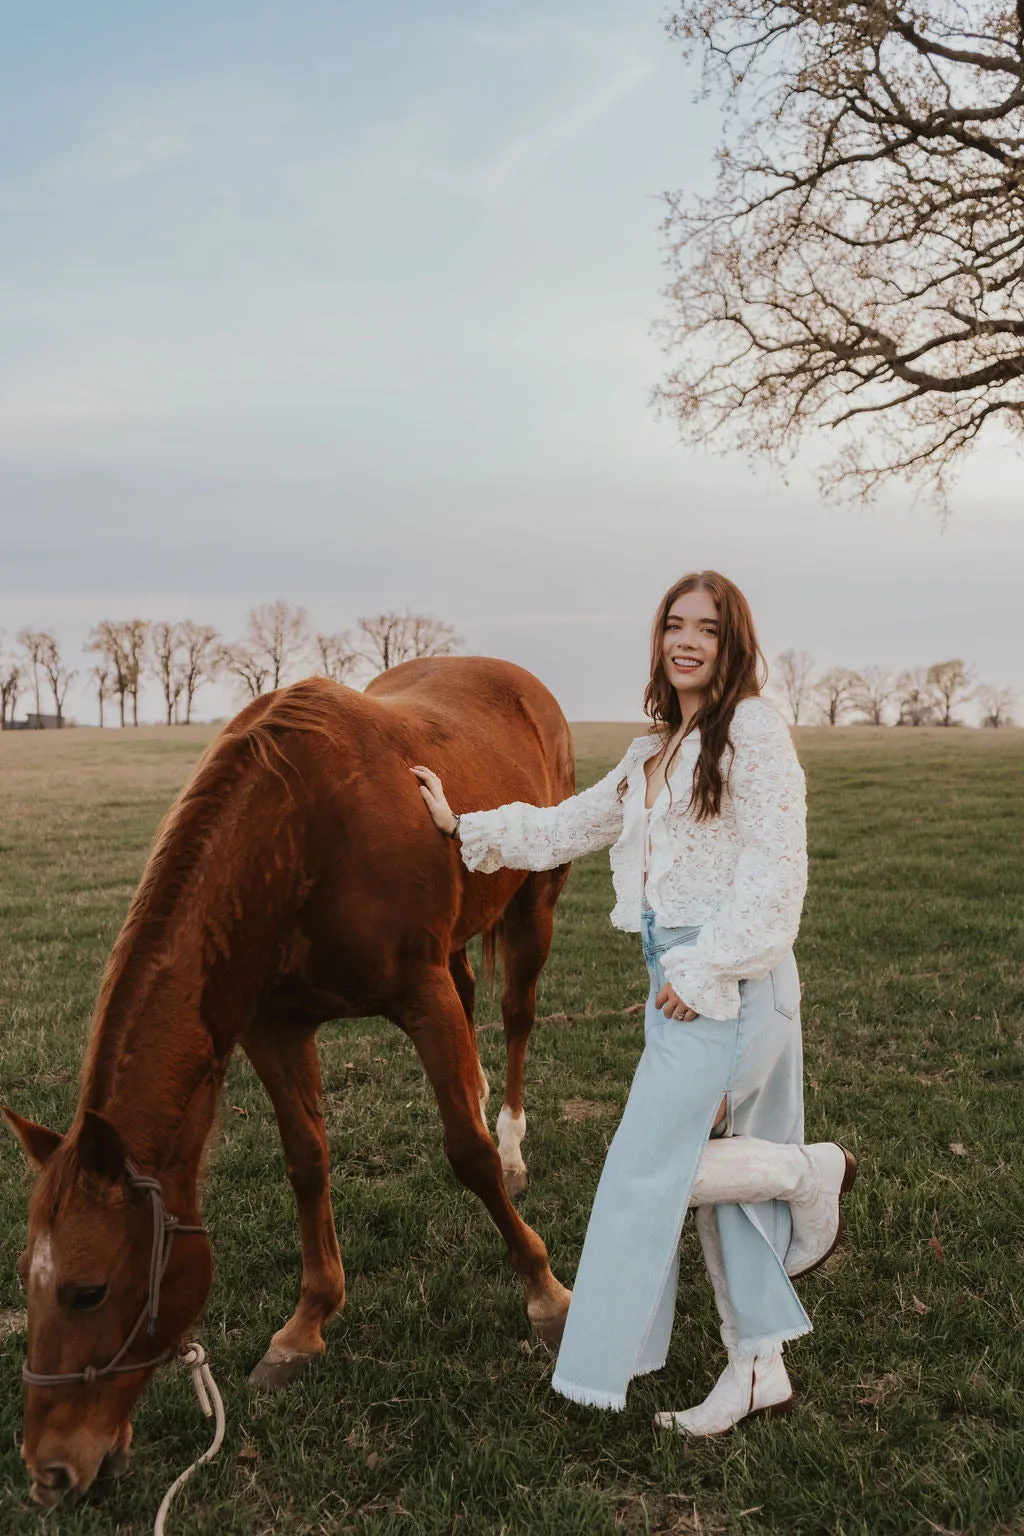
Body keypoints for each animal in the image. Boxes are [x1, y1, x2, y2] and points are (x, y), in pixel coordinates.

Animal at [2, 654, 577, 1505]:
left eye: (89, 1289)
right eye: (25, 1281)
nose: (48, 1472)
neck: (300, 830)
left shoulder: (421, 996)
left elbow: (466, 1157)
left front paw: (545, 1291)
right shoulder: (273, 1028)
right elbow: (307, 1164)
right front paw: (305, 1328)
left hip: (534, 905)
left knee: (513, 1018)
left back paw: (510, 1141)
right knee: (476, 999)